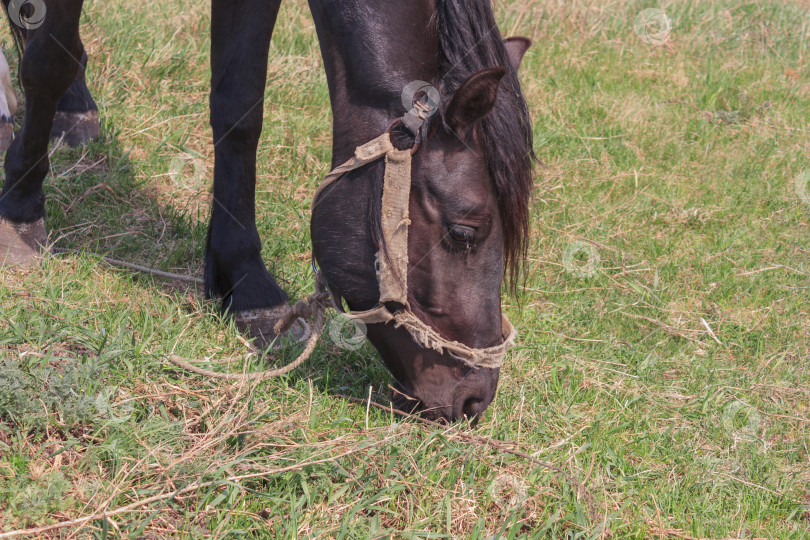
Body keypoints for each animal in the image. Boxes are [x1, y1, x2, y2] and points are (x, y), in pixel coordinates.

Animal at [0, 0, 532, 422]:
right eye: (464, 232)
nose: (476, 399)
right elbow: (49, 61)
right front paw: (20, 209)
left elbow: (240, 107)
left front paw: (245, 280)